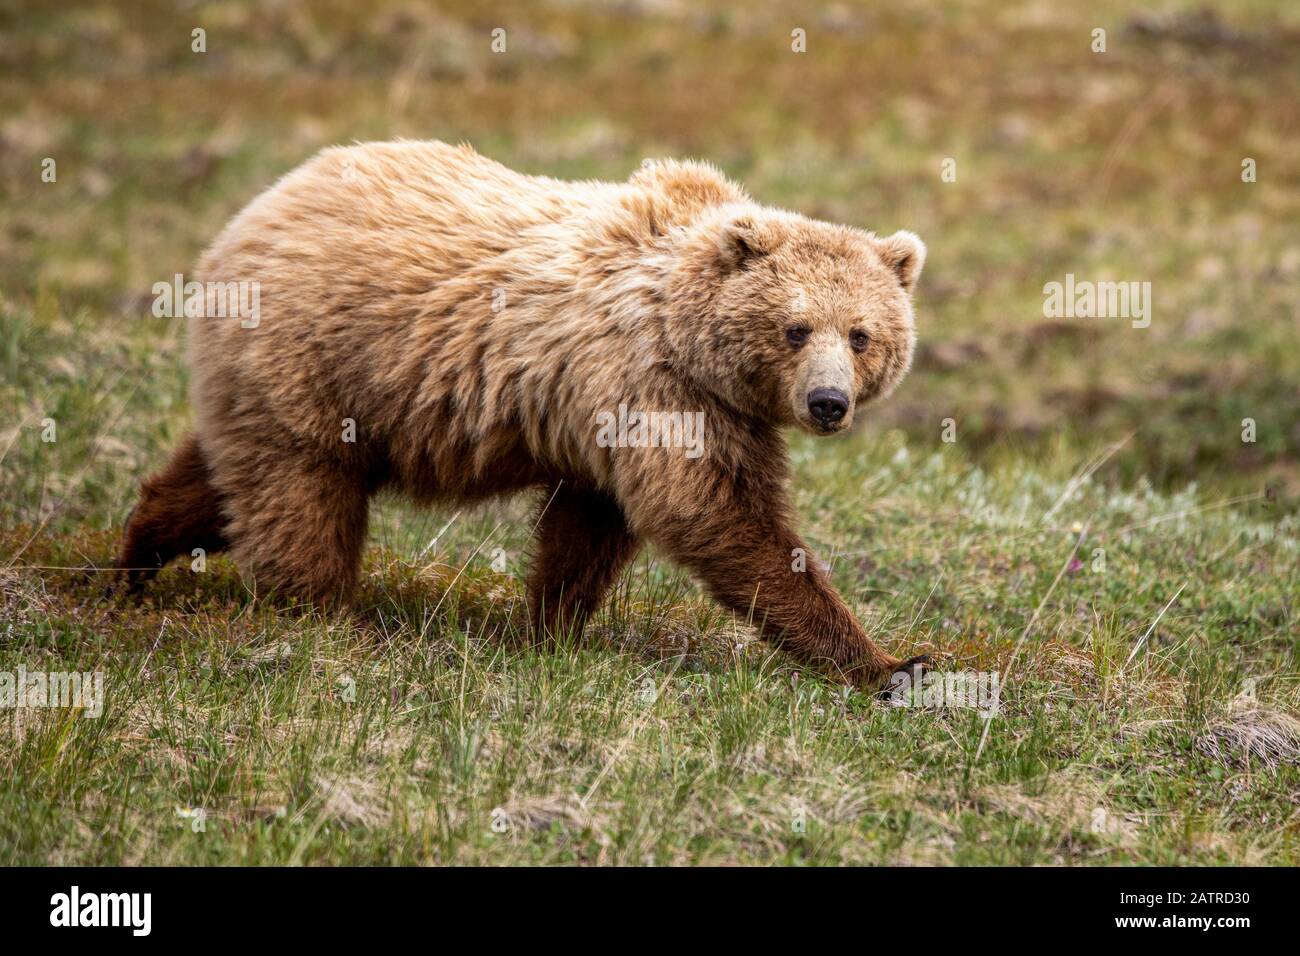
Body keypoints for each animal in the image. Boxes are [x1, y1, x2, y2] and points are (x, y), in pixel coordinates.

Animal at [116, 141, 930, 686]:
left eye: (861, 334)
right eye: (796, 327)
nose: (828, 402)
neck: (689, 337)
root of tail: (255, 211)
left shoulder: (624, 415)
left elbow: (590, 525)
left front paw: (549, 626)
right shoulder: (658, 389)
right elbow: (719, 515)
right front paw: (887, 663)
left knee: (221, 479)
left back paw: (136, 555)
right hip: (318, 359)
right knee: (301, 499)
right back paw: (320, 616)